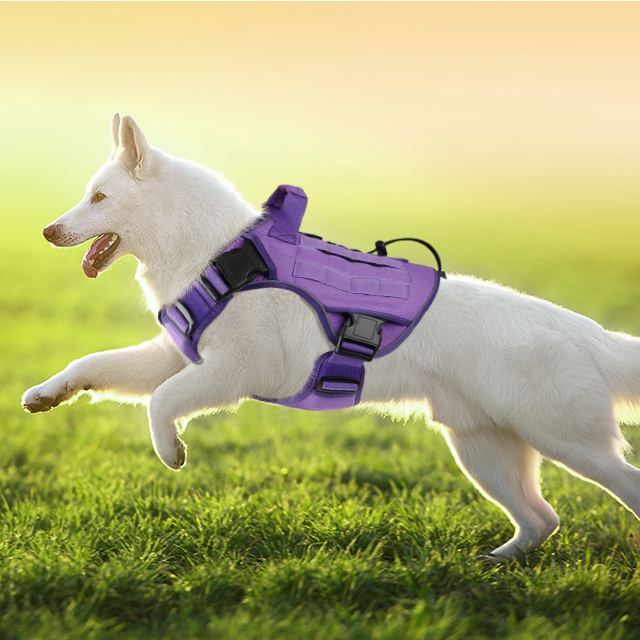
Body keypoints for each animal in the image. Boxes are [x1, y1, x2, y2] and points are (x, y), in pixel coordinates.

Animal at [21, 114, 640, 560]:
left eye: (99, 198)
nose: (48, 231)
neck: (214, 255)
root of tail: (584, 331)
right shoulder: (170, 356)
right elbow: (92, 365)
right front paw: (46, 394)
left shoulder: (235, 371)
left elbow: (163, 403)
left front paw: (170, 450)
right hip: (483, 453)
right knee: (542, 520)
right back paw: (496, 563)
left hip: (570, 443)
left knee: (614, 490)